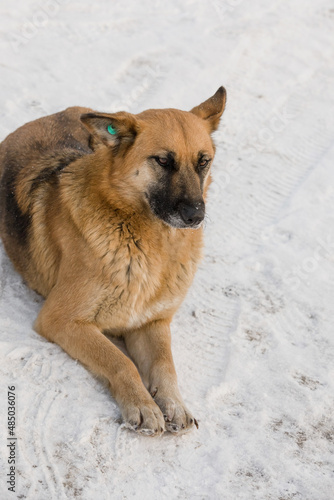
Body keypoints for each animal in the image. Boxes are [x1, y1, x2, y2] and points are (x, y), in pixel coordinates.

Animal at [0, 88, 227, 436]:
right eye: (163, 161)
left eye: (203, 161)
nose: (195, 216)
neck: (148, 241)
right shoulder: (61, 320)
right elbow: (121, 361)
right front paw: (143, 405)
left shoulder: (152, 322)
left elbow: (165, 364)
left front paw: (174, 404)